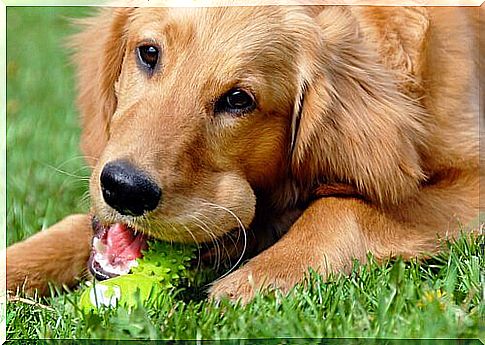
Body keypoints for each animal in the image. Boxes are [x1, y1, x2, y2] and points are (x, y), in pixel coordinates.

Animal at [5, 4, 482, 302]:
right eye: (148, 53)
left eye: (238, 100)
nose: (125, 189)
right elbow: (72, 227)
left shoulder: (470, 179)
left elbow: (342, 206)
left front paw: (261, 276)